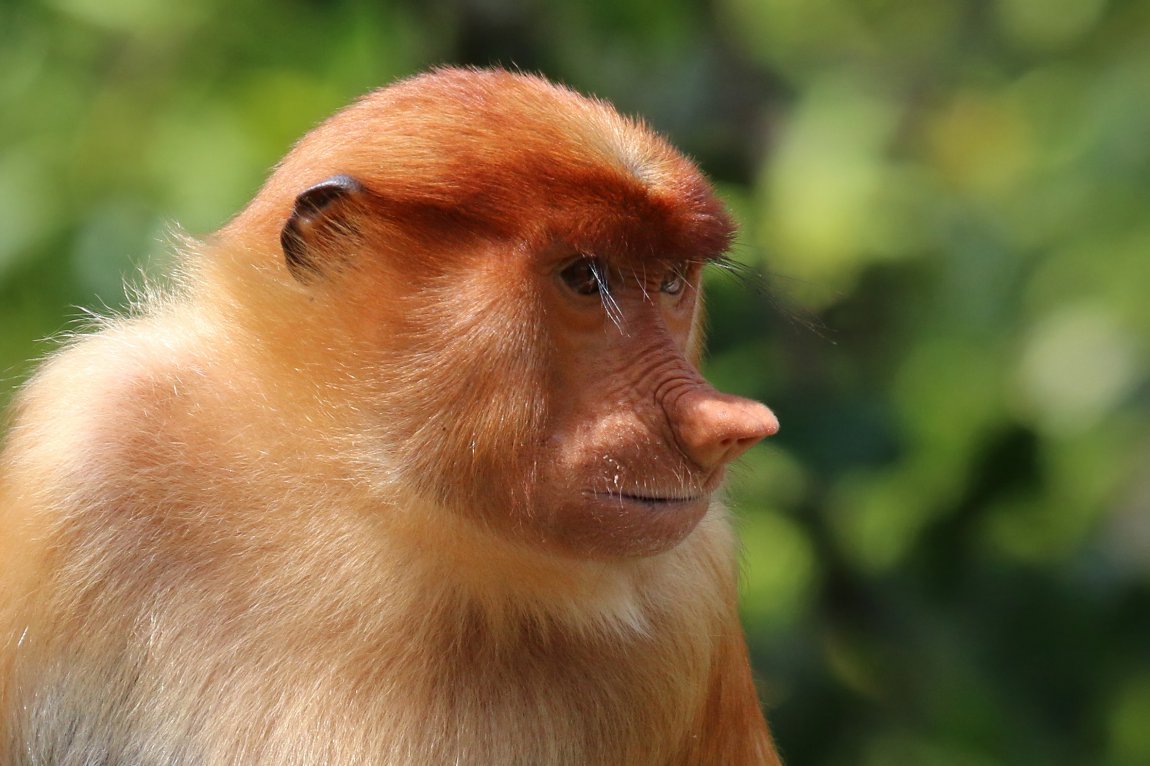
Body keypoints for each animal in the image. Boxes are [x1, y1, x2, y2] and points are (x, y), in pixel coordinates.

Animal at [0, 66, 782, 763]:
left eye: (672, 281)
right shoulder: (90, 443)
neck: (362, 509)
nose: (723, 425)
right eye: (586, 277)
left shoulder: (694, 590)